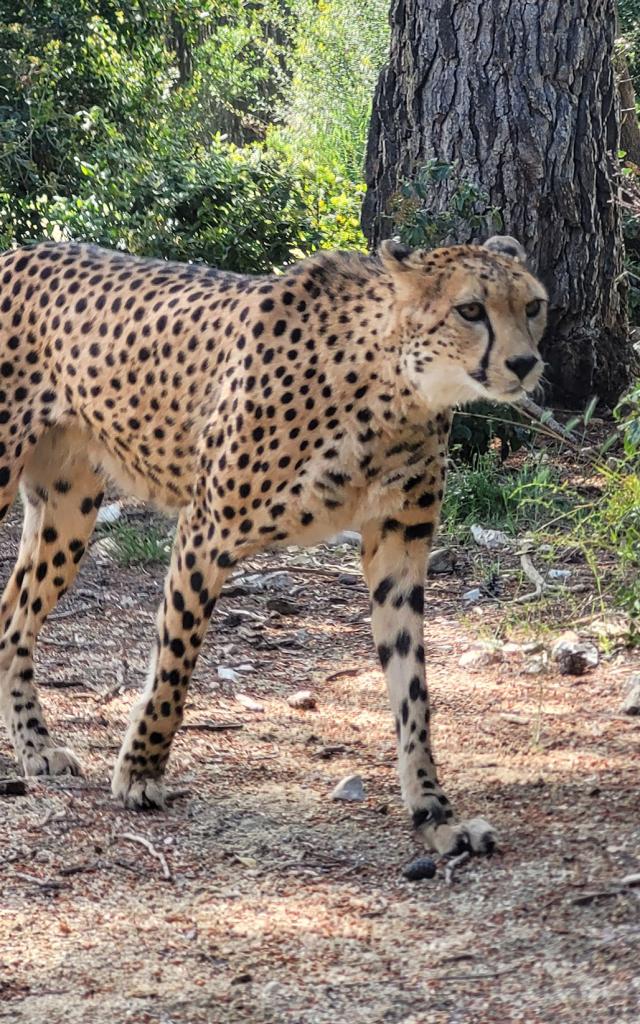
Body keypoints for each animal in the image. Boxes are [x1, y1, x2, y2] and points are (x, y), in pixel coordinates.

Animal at [0, 232, 544, 856]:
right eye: (470, 309)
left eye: (533, 306)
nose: (525, 363)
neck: (394, 385)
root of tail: (18, 252)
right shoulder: (205, 529)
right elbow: (175, 663)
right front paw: (140, 771)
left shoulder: (399, 546)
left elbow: (412, 689)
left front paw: (433, 811)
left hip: (69, 510)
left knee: (12, 620)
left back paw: (35, 748)